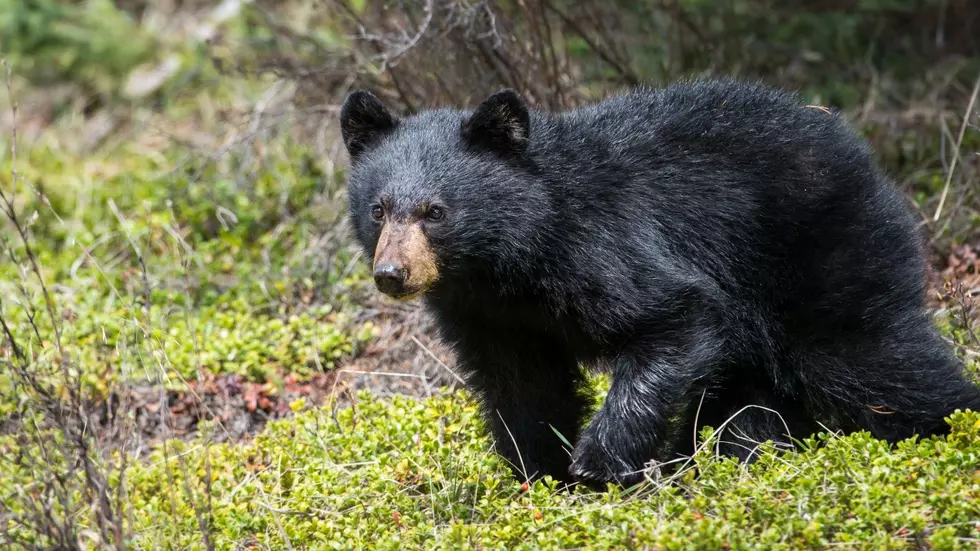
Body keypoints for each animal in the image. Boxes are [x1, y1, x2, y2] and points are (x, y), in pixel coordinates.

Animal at [338, 75, 980, 490]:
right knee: (752, 399)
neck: (508, 258)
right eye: (379, 209)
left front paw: (597, 462)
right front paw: (541, 473)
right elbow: (522, 385)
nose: (392, 275)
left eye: (435, 212)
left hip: (819, 252)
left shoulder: (601, 247)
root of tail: (860, 154)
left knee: (868, 360)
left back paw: (952, 429)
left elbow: (676, 317)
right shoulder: (488, 312)